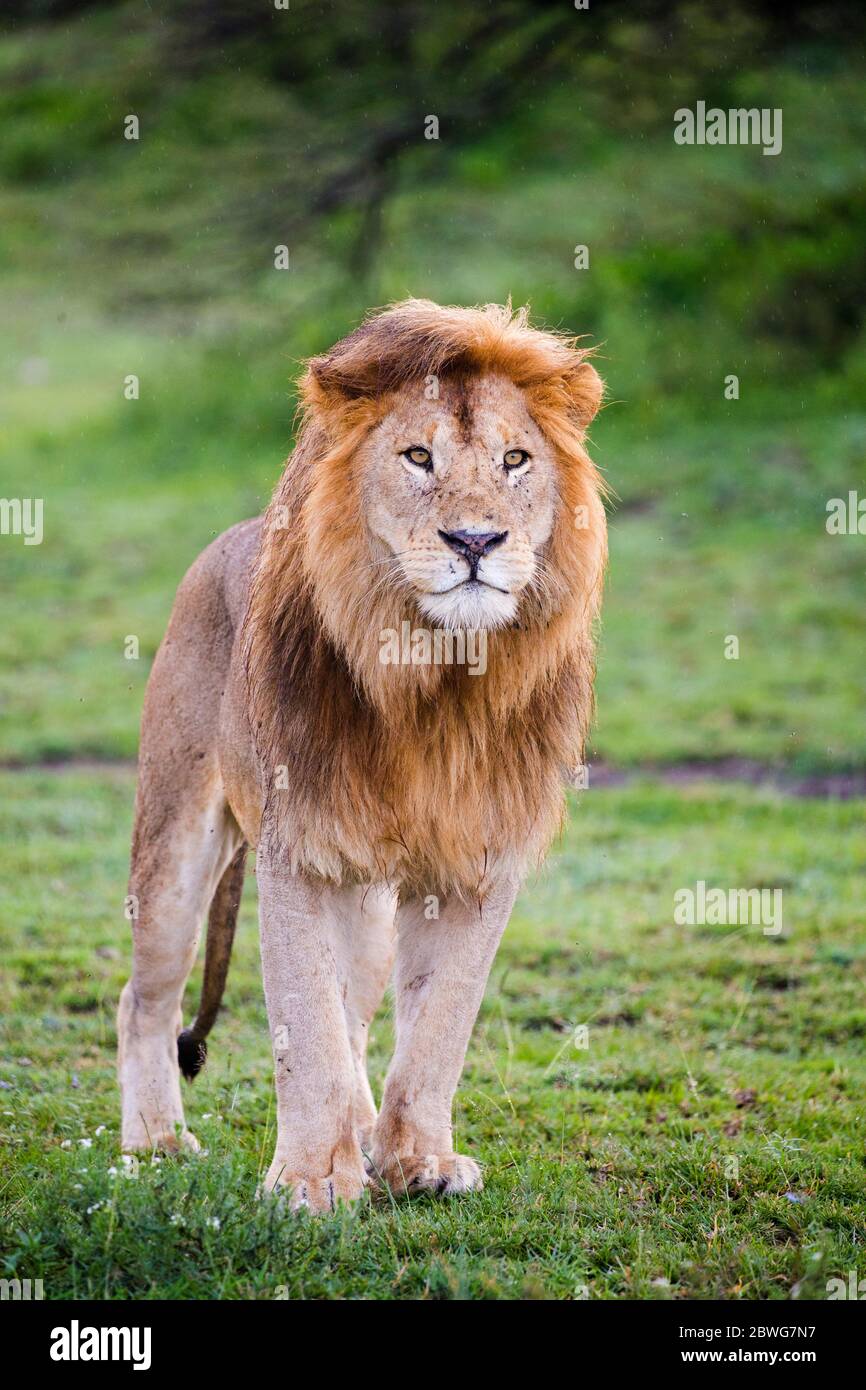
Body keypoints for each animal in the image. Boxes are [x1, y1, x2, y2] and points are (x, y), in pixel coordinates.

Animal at [116, 298, 608, 1212]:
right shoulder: (298, 850)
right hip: (174, 847)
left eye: (515, 459)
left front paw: (418, 1159)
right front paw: (311, 1181)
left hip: (371, 906)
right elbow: (304, 1023)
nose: (476, 540)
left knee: (356, 1018)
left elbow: (438, 1027)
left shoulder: (478, 860)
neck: (437, 677)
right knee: (147, 1000)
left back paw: (366, 1134)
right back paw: (158, 1143)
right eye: (418, 457)